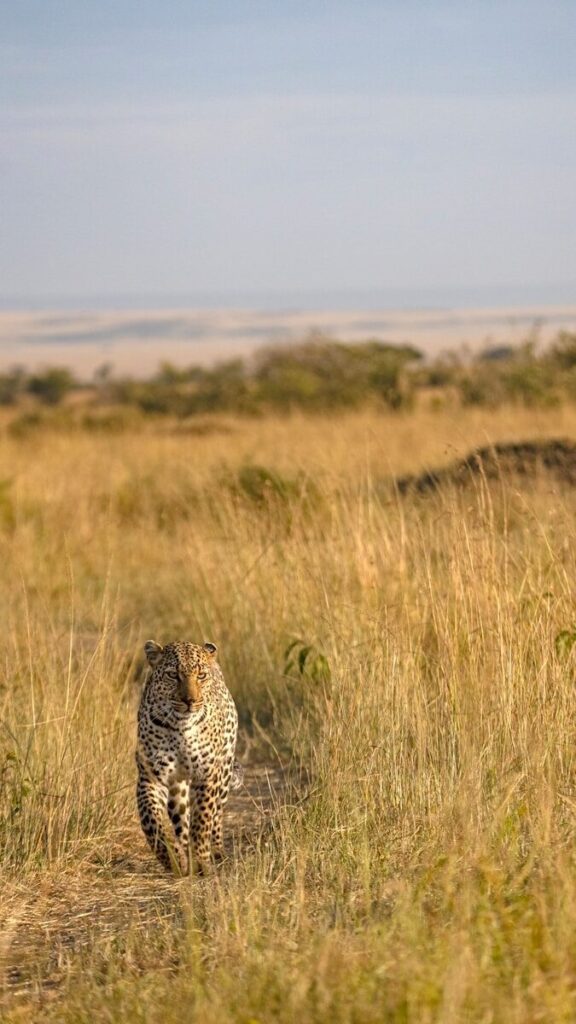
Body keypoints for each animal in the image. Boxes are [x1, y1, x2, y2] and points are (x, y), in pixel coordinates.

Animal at [136, 639, 240, 875]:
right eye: (172, 675)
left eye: (201, 675)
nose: (190, 701)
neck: (181, 727)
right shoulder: (151, 777)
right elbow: (153, 821)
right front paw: (174, 859)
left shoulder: (207, 775)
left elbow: (202, 819)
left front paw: (201, 860)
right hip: (178, 786)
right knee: (181, 820)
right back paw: (184, 853)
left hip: (224, 770)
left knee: (217, 815)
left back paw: (216, 852)